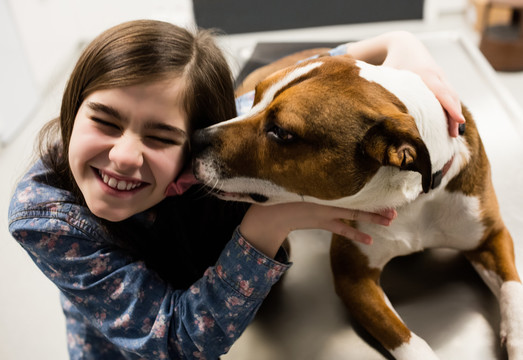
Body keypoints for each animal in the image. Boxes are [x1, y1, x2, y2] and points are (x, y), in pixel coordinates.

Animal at [192, 49, 523, 358]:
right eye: (256, 99)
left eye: (281, 132)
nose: (195, 137)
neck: (414, 196)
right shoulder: (354, 278)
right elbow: (407, 340)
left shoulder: (491, 237)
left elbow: (513, 291)